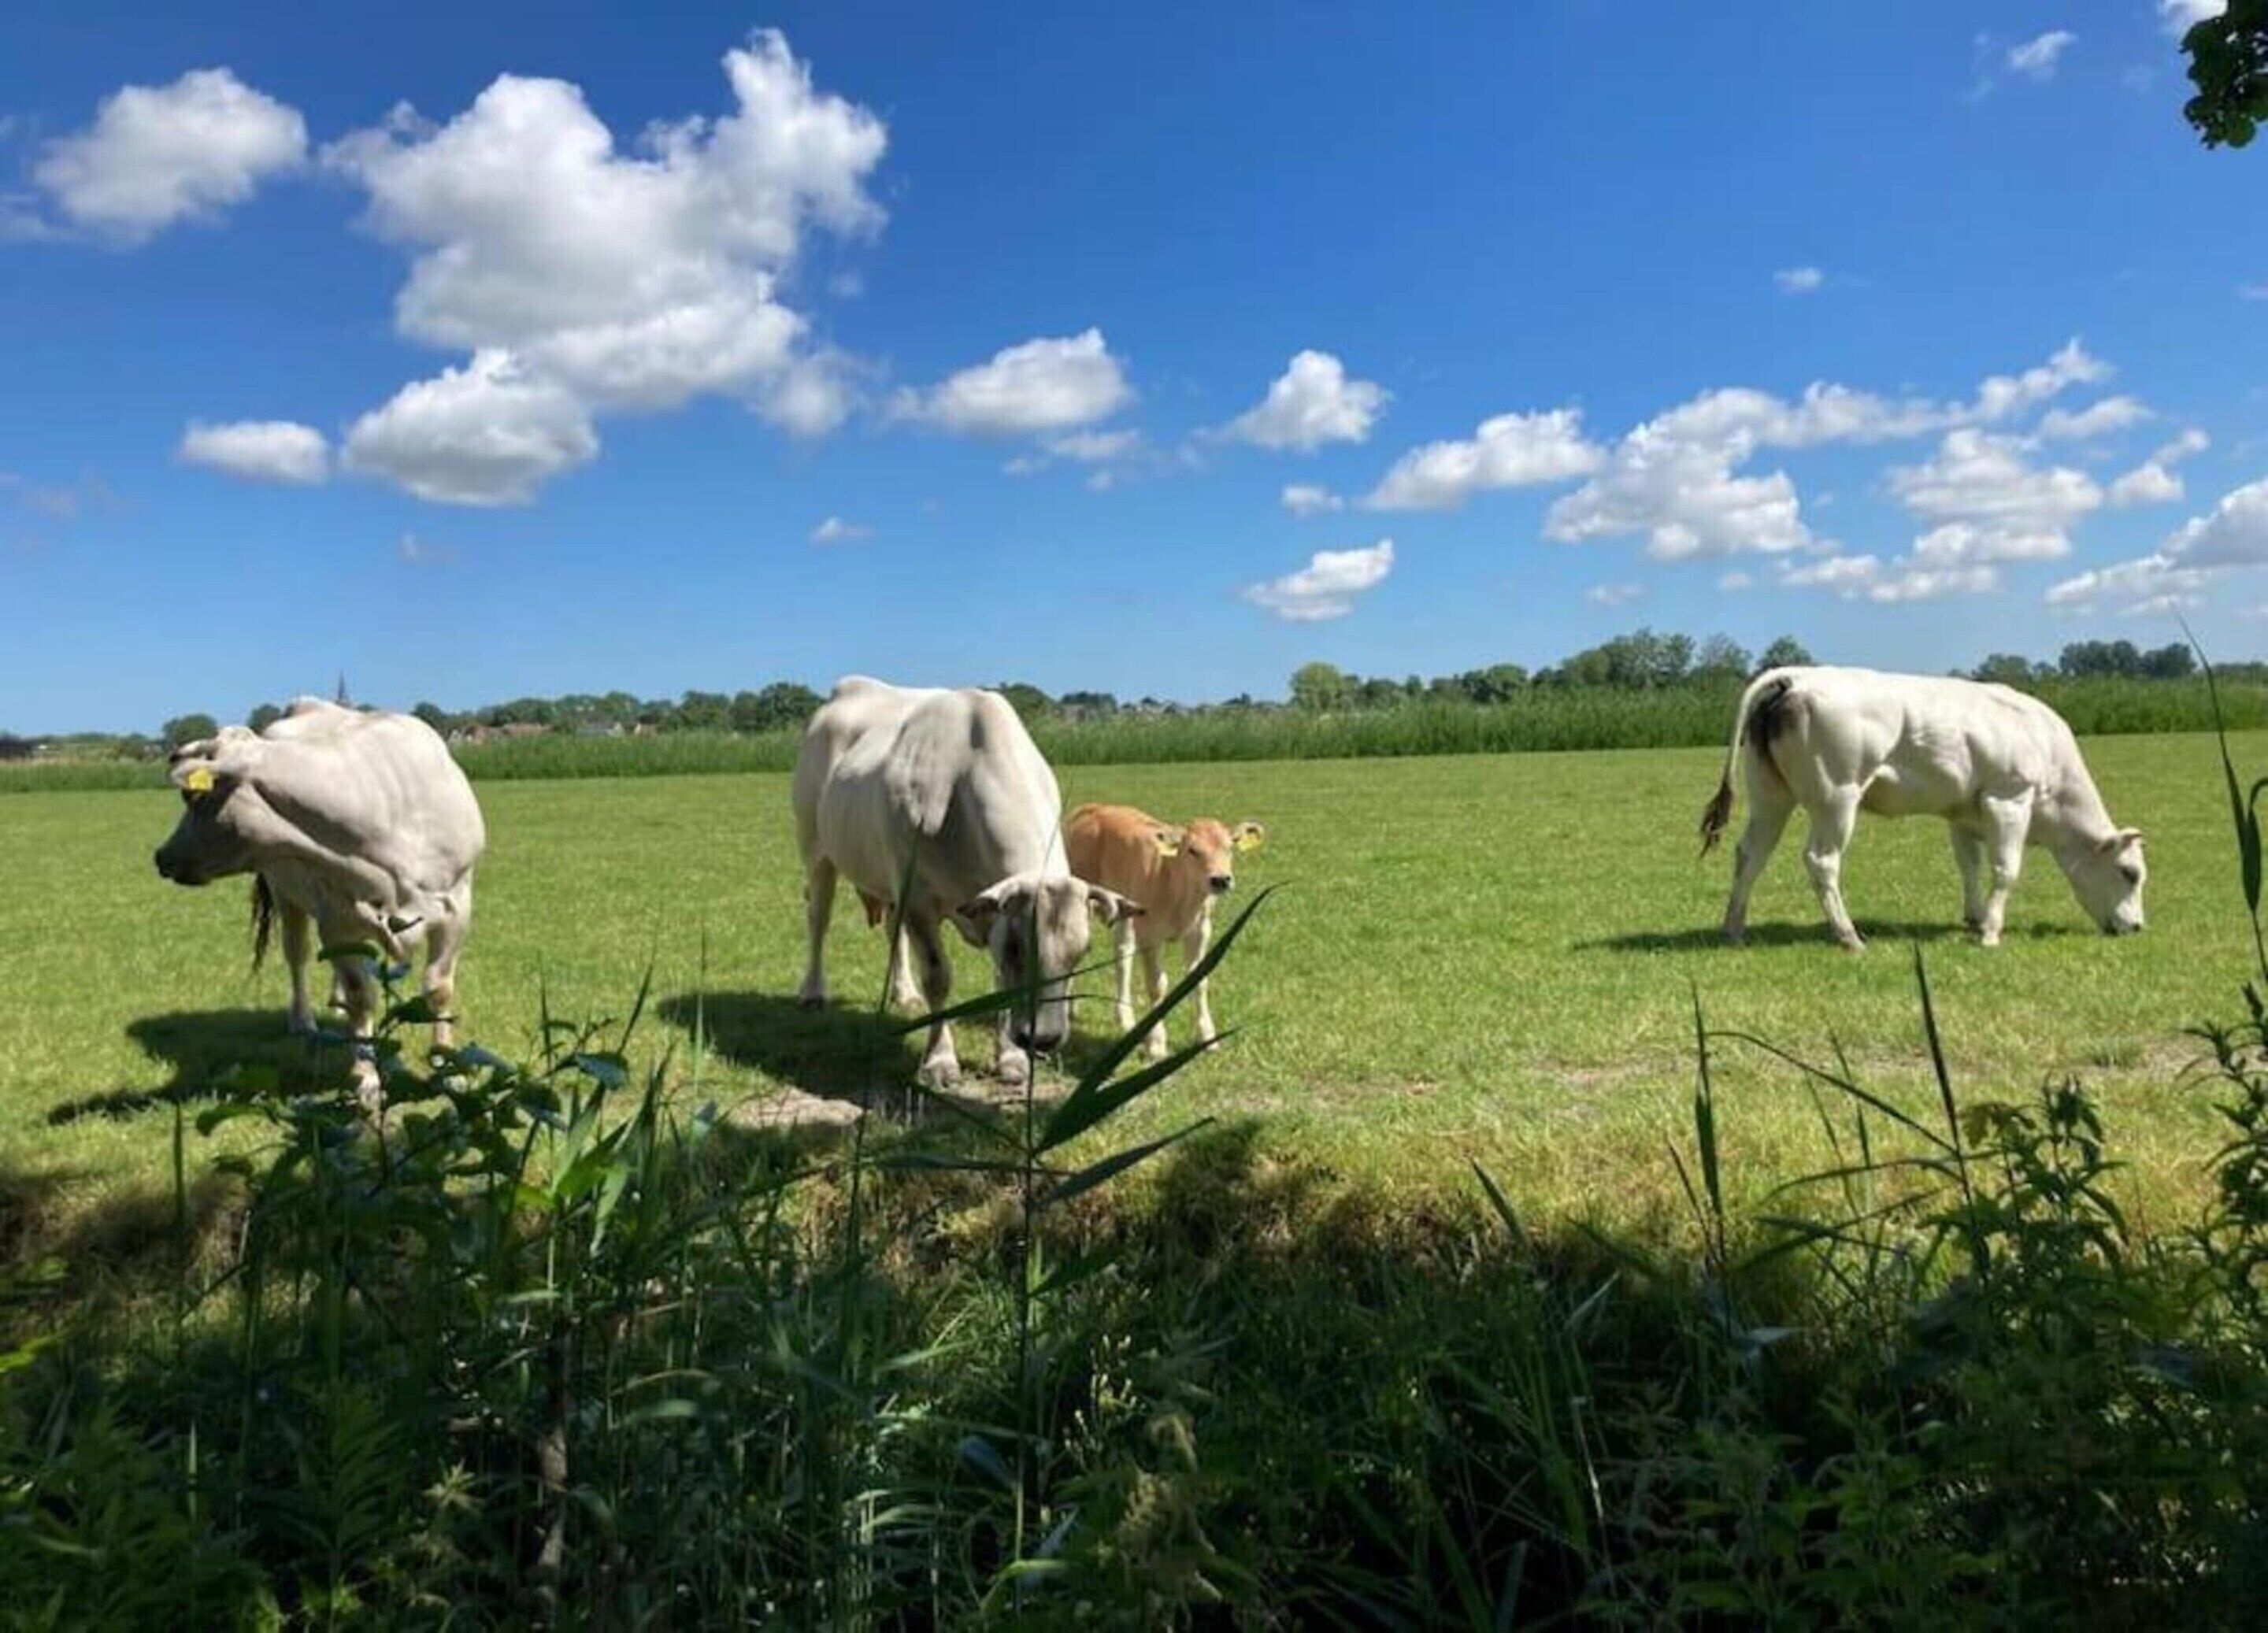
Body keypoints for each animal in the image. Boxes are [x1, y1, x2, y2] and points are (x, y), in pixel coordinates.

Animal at [153, 697, 486, 1106]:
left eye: (194, 795)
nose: (162, 856)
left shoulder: (457, 907)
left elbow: (438, 990)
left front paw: (448, 1069)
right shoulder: (336, 919)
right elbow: (362, 995)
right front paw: (366, 1078)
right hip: (286, 894)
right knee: (297, 954)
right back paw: (304, 1022)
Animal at [791, 678, 1139, 1090]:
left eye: (1083, 951)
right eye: (1018, 947)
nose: (1044, 1038)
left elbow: (999, 986)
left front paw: (1011, 1058)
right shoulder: (917, 899)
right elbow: (938, 977)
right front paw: (939, 1060)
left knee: (892, 931)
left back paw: (904, 993)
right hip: (817, 847)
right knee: (818, 918)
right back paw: (813, 992)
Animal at [1065, 803, 1264, 1060]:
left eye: (1230, 847)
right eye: (1192, 850)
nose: (1220, 879)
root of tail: (1092, 807)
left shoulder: (1200, 930)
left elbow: (1200, 980)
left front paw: (1208, 1038)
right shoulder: (1150, 934)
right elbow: (1157, 986)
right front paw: (1156, 1044)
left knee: (1122, 954)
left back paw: (1125, 1018)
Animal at [1699, 666, 2145, 952]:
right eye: (2130, 873)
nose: (2138, 927)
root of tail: (1796, 677)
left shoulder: (1963, 813)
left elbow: (1970, 865)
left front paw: (1975, 918)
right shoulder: (2009, 798)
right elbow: (2006, 869)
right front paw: (1991, 933)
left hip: (1770, 795)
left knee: (1751, 854)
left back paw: (1734, 930)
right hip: (1836, 798)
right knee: (1821, 861)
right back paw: (1849, 936)